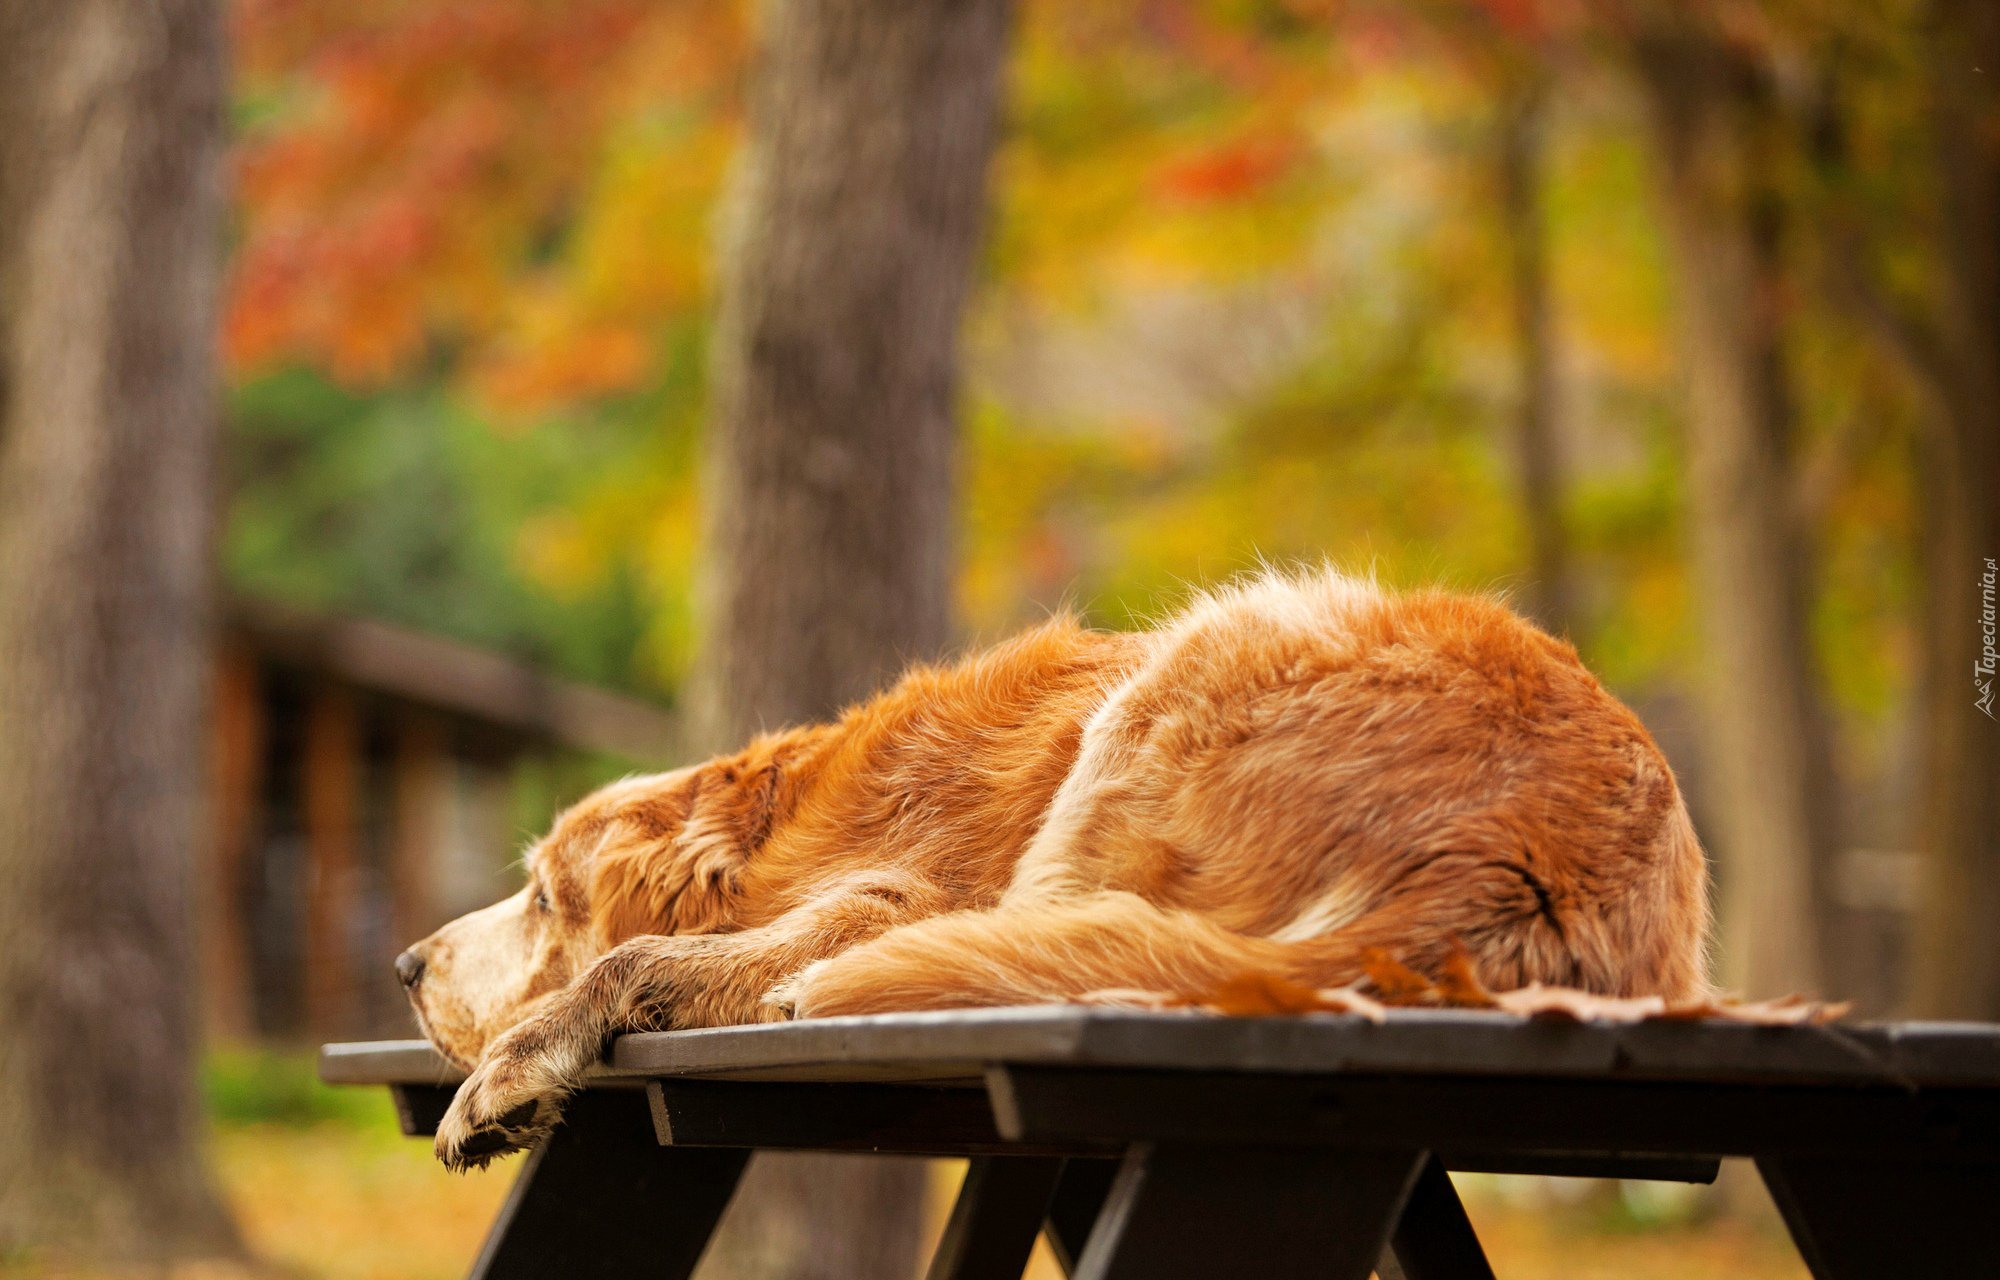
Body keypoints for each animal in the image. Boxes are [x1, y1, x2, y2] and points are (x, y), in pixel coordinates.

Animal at [402, 568, 1704, 1168]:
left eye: (542, 894)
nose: (407, 962)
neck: (785, 832)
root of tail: (1516, 858)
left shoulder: (898, 888)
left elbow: (632, 956)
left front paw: (517, 1066)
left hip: (1220, 636)